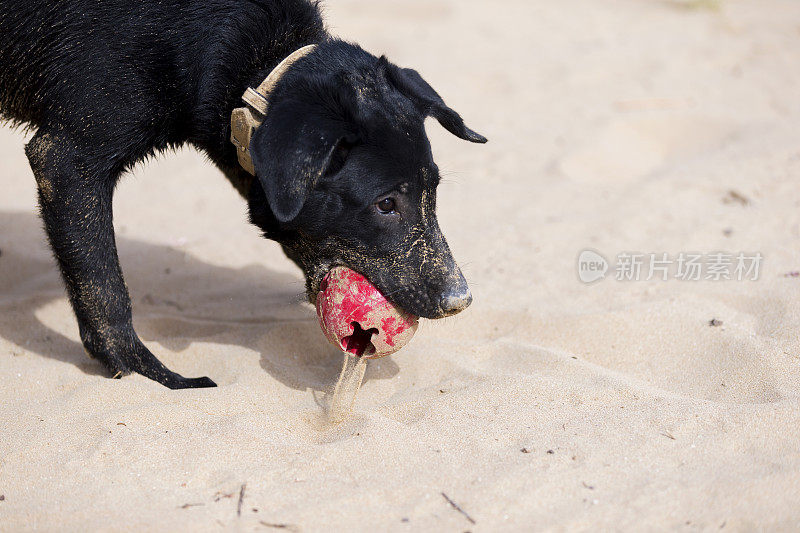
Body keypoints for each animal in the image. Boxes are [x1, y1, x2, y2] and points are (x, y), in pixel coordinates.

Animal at [0, 0, 488, 386]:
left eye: (433, 192)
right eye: (386, 205)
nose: (460, 301)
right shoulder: (68, 163)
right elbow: (103, 287)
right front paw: (149, 374)